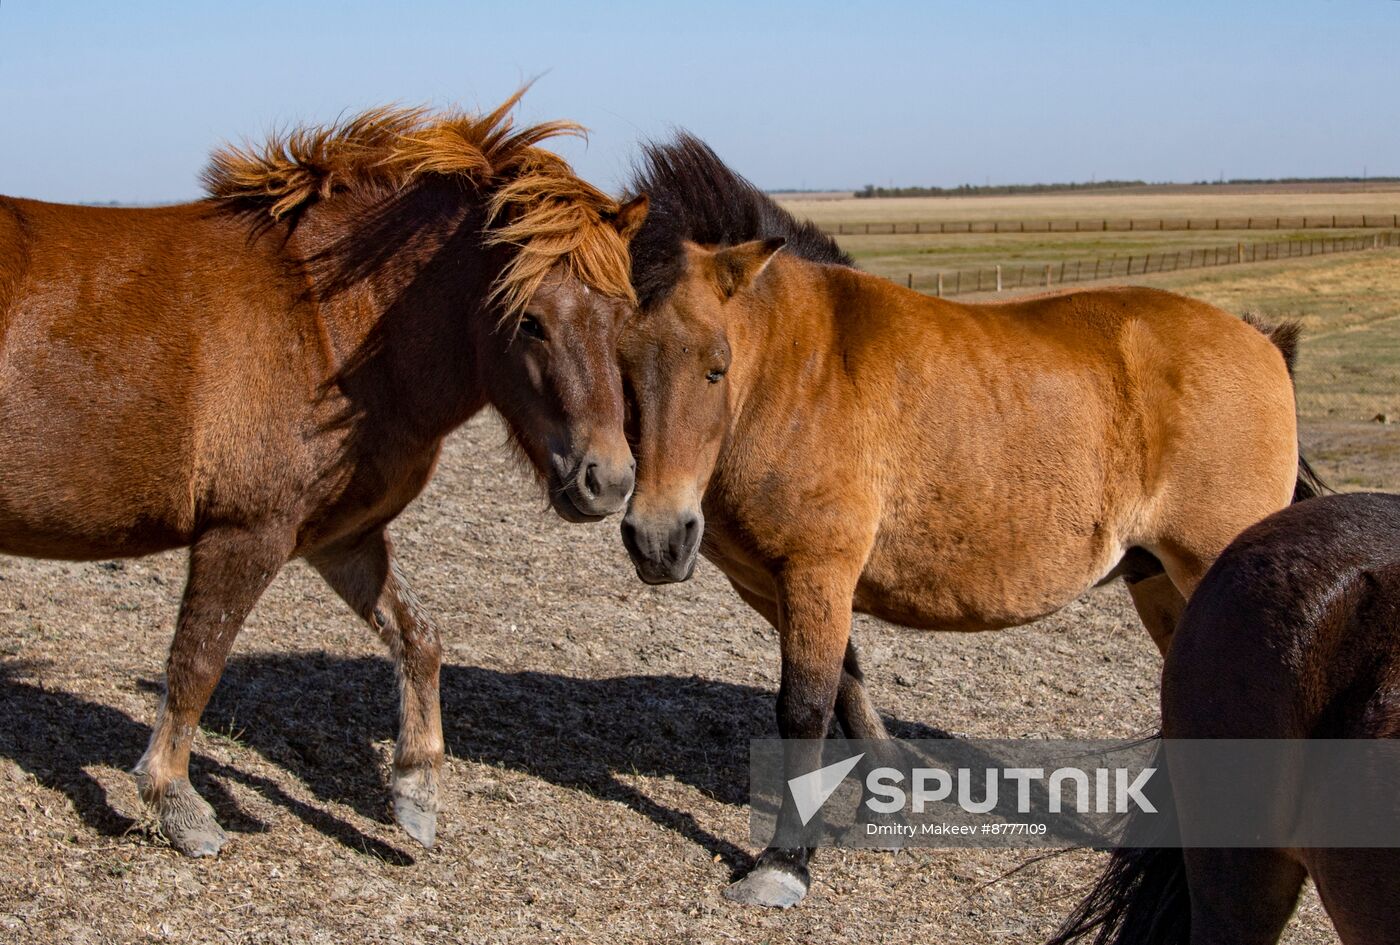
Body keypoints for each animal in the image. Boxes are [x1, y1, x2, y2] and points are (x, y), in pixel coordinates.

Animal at [0, 90, 644, 856]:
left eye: (624, 317)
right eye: (531, 321)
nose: (608, 480)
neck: (324, 320)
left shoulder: (341, 538)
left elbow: (418, 638)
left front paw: (416, 791)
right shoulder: (246, 533)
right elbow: (195, 665)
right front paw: (177, 802)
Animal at [618, 133, 1316, 907]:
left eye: (716, 366)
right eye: (617, 361)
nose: (658, 537)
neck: (794, 372)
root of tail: (1263, 344)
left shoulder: (816, 571)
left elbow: (804, 707)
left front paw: (784, 862)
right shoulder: (778, 585)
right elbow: (849, 690)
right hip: (1161, 582)